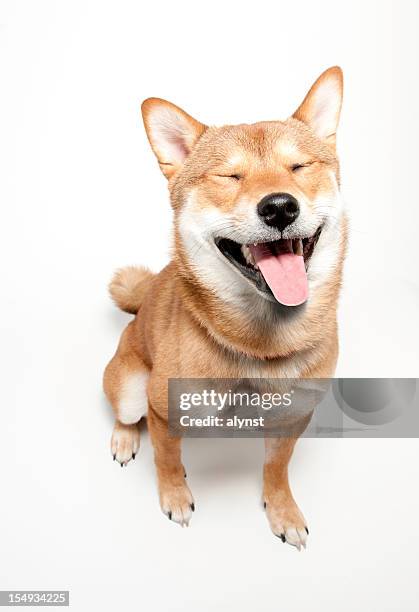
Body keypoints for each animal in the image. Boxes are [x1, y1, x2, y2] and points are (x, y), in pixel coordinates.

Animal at [104, 67, 348, 548]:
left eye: (298, 167)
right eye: (230, 176)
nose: (279, 207)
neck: (260, 346)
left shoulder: (293, 417)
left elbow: (276, 468)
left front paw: (282, 510)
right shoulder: (162, 408)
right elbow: (166, 460)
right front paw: (174, 496)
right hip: (129, 388)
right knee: (127, 416)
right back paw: (125, 438)